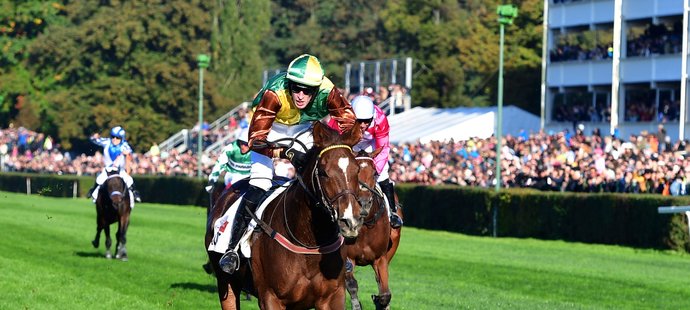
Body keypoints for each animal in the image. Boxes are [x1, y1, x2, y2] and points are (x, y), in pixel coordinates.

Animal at [206, 121, 362, 310]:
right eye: (324, 172)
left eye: (357, 170)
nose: (350, 221)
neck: (308, 242)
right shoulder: (271, 297)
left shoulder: (333, 297)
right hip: (226, 281)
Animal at [344, 151, 404, 310]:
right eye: (354, 172)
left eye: (374, 173)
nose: (364, 203)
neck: (365, 225)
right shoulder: (349, 259)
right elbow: (351, 285)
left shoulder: (380, 258)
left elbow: (385, 293)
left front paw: (379, 301)